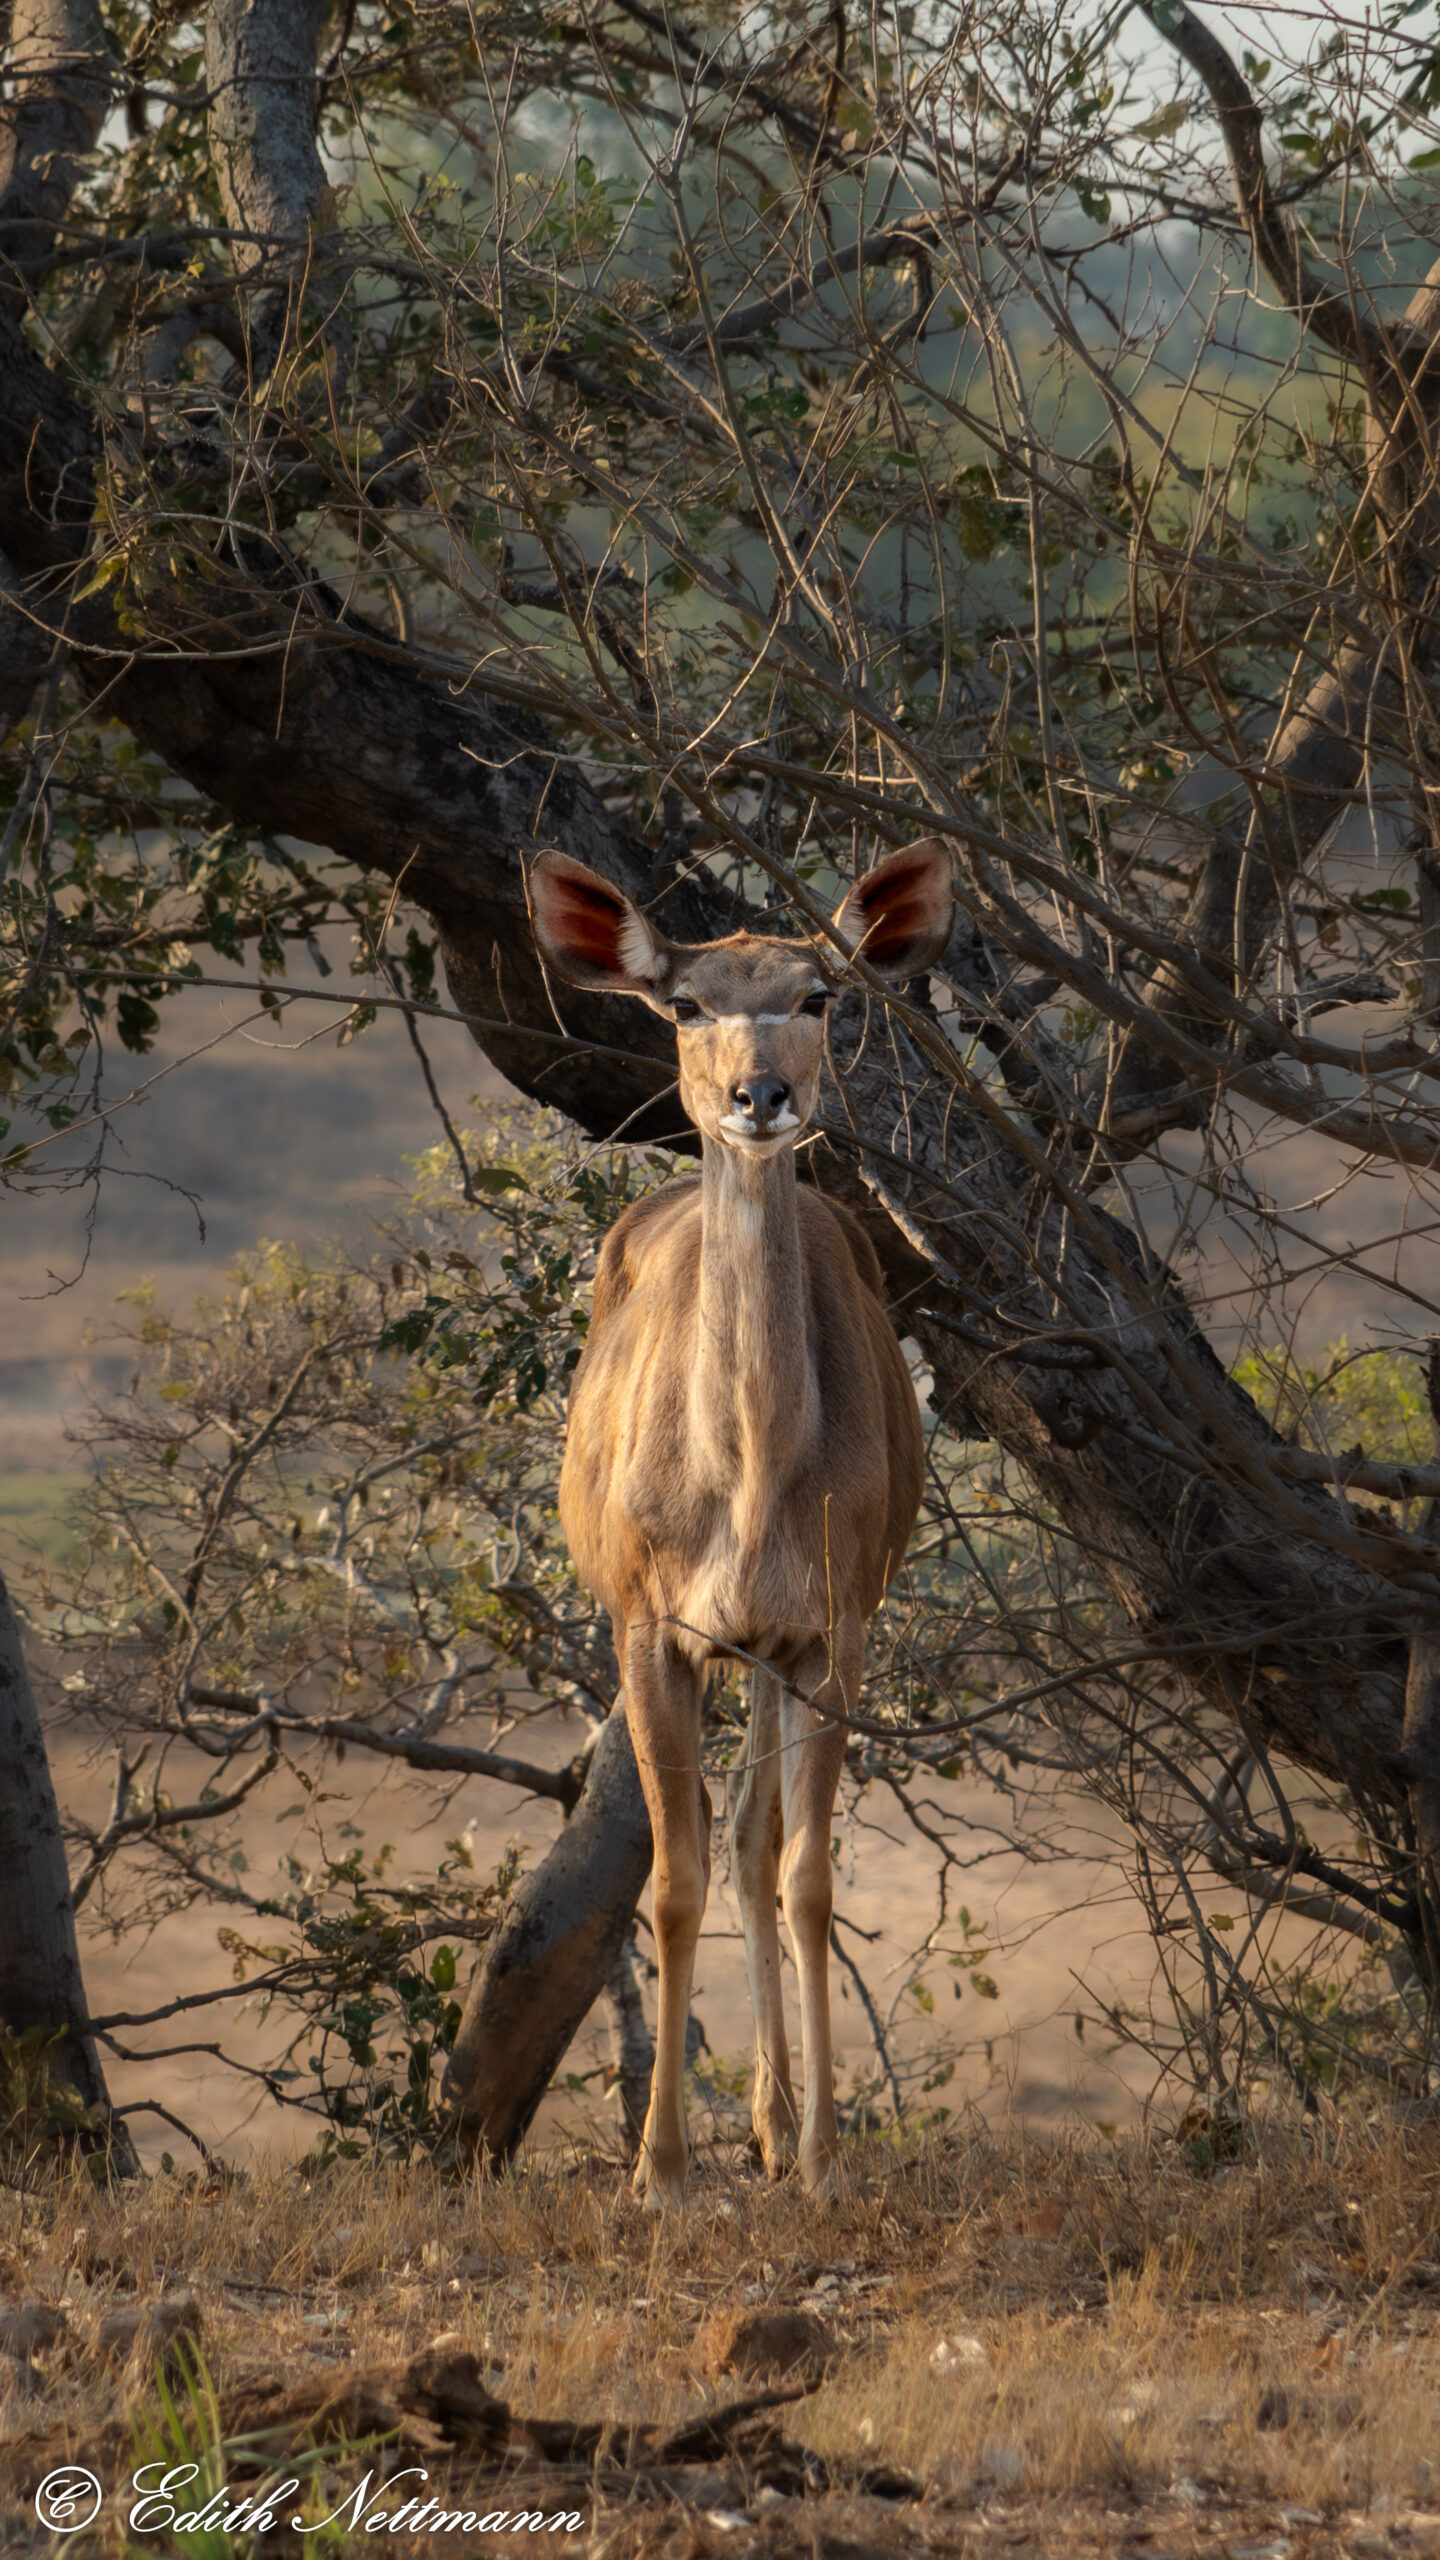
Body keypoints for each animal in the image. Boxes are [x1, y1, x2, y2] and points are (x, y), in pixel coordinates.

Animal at [527, 839, 953, 2201]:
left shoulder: (829, 1632)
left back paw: (772, 2123)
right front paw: (659, 2171)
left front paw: (818, 2157)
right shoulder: (650, 1628)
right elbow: (669, 1881)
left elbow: (807, 1873)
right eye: (684, 1003)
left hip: (767, 1657)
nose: (758, 1095)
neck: (750, 1480)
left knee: (765, 1842)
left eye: (818, 994)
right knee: (724, 1842)